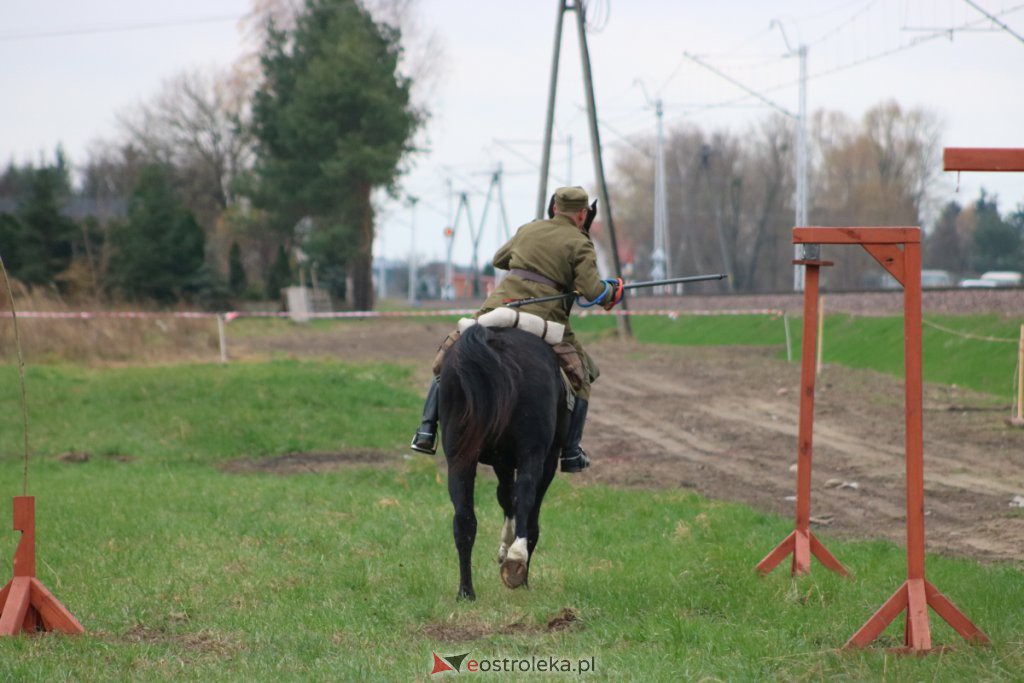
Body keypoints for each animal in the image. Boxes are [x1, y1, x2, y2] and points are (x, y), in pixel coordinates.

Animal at [440, 323, 569, 602]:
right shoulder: (546, 459)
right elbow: (524, 508)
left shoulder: (502, 462)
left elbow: (505, 496)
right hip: (534, 453)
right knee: (527, 497)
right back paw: (516, 560)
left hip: (460, 460)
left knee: (464, 520)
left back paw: (466, 591)